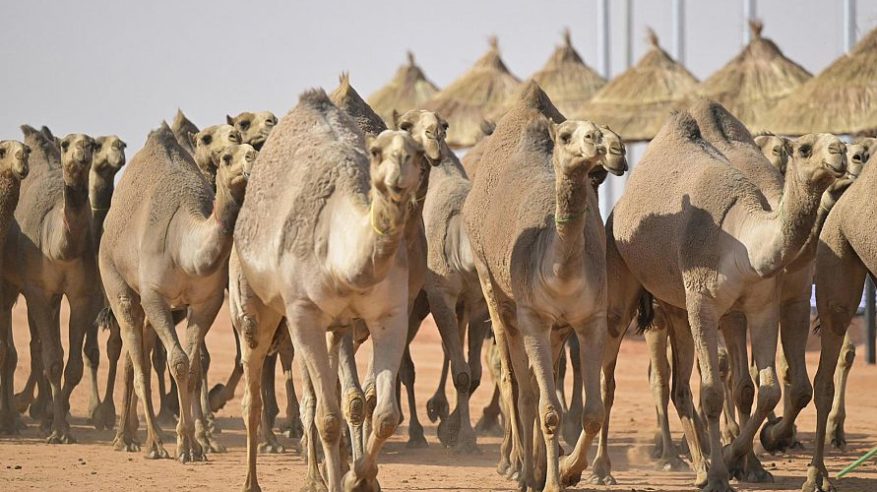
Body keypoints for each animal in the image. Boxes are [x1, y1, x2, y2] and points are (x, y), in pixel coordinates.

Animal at [99, 125, 252, 464]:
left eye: (251, 149)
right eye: (226, 157)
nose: (250, 157)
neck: (184, 249)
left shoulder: (207, 302)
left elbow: (192, 368)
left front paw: (193, 446)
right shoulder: (154, 296)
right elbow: (178, 362)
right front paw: (178, 445)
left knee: (133, 356)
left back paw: (127, 437)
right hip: (115, 278)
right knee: (137, 356)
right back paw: (147, 442)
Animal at [229, 90, 428, 492]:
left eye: (417, 152)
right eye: (376, 152)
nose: (399, 176)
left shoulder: (391, 314)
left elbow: (384, 414)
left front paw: (358, 478)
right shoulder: (303, 314)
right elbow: (328, 418)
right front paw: (346, 479)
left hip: (336, 325)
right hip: (255, 305)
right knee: (253, 394)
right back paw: (253, 482)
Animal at [462, 82, 620, 490]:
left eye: (601, 129)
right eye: (567, 135)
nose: (614, 146)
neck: (561, 270)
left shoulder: (589, 319)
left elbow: (591, 412)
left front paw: (569, 470)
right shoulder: (532, 317)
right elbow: (548, 408)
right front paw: (549, 480)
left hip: (556, 328)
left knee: (535, 381)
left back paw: (532, 466)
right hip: (494, 291)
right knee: (516, 382)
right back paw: (520, 469)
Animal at [596, 101, 840, 492]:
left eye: (843, 145)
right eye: (804, 148)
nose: (843, 153)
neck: (742, 241)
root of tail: (619, 207)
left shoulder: (766, 305)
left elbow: (768, 389)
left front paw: (733, 459)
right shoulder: (704, 304)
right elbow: (712, 391)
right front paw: (722, 472)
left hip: (676, 306)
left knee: (682, 387)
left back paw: (701, 466)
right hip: (621, 275)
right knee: (609, 376)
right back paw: (598, 468)